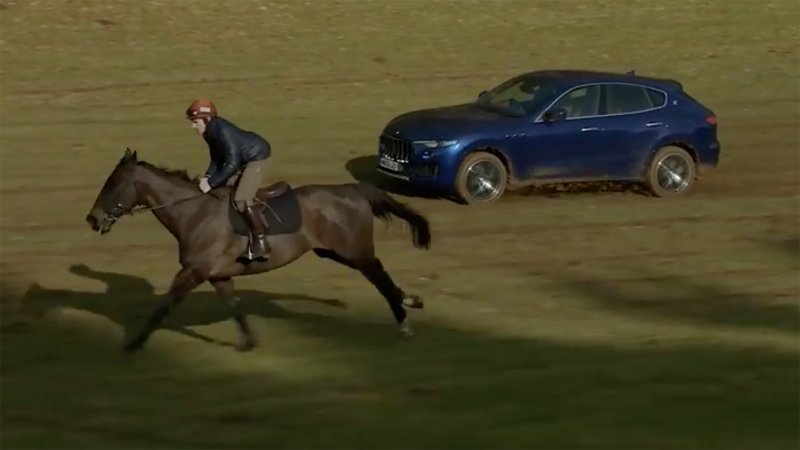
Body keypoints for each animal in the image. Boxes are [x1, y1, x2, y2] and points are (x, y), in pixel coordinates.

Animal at [84, 149, 432, 354]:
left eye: (113, 184)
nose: (92, 219)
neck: (193, 213)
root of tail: (353, 189)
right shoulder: (217, 275)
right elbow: (234, 306)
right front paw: (249, 343)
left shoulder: (193, 271)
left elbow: (164, 306)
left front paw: (134, 343)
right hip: (332, 252)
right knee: (381, 275)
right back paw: (410, 301)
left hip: (354, 251)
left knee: (380, 276)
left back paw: (404, 319)